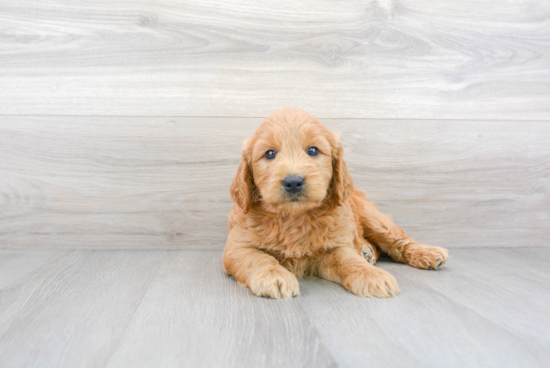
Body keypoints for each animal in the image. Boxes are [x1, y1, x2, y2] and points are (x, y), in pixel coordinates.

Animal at [222, 108, 450, 298]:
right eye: (269, 153)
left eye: (313, 151)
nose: (293, 182)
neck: (294, 217)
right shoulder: (236, 248)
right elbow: (258, 258)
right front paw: (275, 277)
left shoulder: (335, 248)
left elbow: (349, 260)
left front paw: (372, 275)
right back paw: (367, 252)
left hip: (372, 217)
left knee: (397, 240)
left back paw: (427, 253)